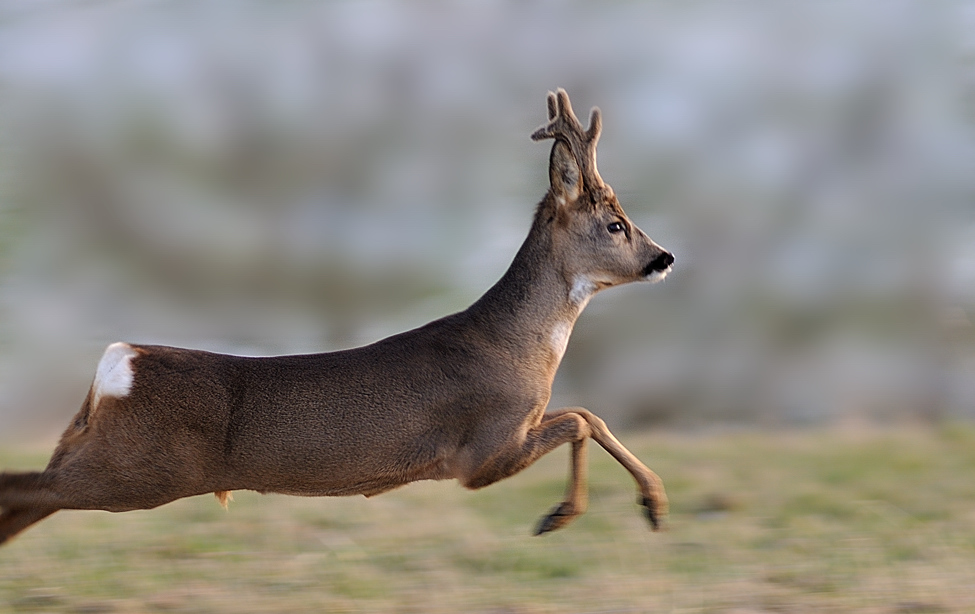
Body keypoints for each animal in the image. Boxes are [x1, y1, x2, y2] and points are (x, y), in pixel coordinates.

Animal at [0, 89, 672, 548]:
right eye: (616, 224)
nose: (663, 257)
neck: (519, 348)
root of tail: (118, 365)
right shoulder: (479, 452)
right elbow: (581, 419)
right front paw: (567, 515)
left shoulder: (505, 438)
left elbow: (587, 414)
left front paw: (652, 506)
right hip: (136, 472)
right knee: (20, 486)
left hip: (93, 453)